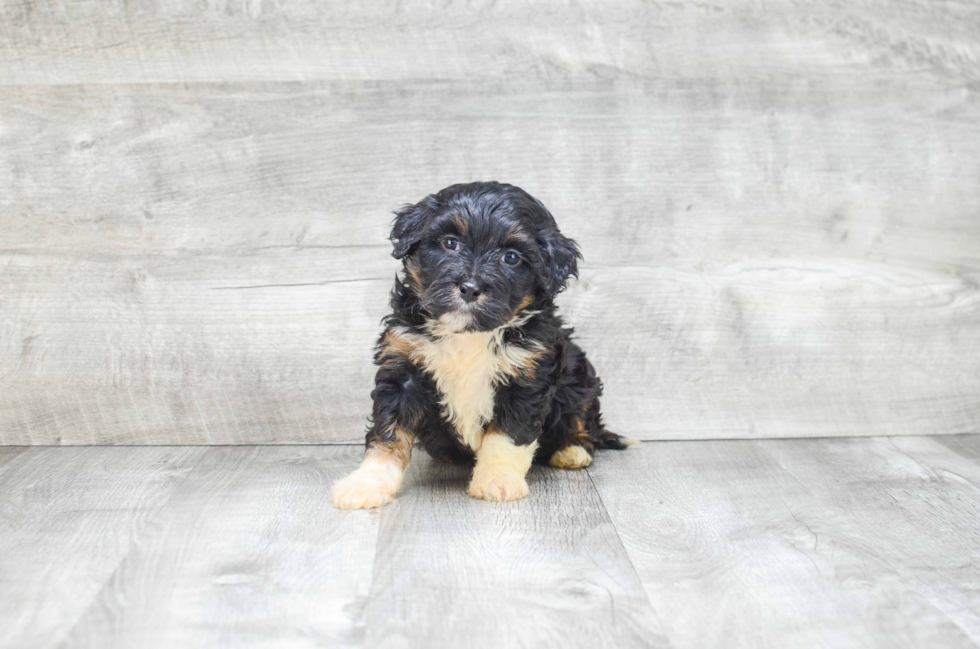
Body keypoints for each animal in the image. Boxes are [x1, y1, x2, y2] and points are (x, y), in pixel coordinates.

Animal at [334, 180, 632, 508]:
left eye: (511, 257)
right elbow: (389, 431)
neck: (469, 332)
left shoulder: (527, 375)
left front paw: (497, 481)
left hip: (580, 376)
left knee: (582, 418)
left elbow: (508, 435)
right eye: (450, 243)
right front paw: (368, 482)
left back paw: (572, 450)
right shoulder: (403, 365)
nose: (470, 288)